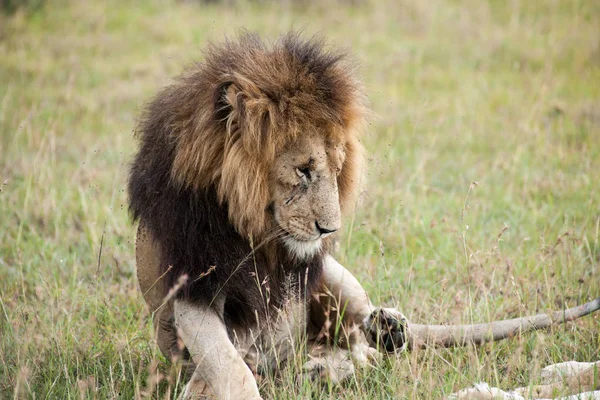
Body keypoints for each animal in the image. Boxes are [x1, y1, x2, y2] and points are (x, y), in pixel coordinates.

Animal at [127, 32, 600, 398]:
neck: (255, 233)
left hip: (331, 274)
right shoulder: (192, 291)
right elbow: (229, 366)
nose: (329, 229)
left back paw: (384, 331)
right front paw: (220, 384)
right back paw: (318, 368)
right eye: (303, 170)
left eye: (338, 170)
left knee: (363, 342)